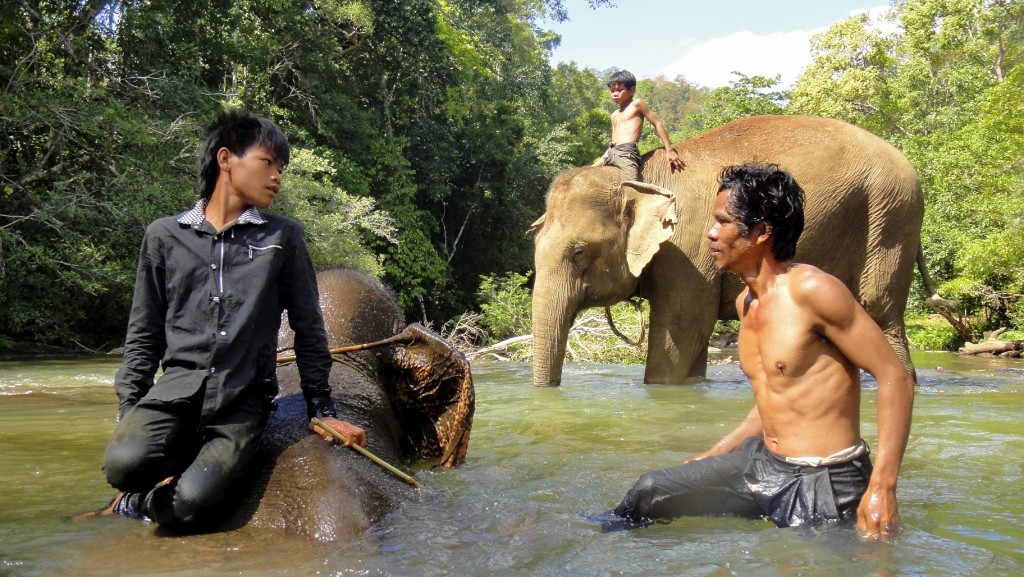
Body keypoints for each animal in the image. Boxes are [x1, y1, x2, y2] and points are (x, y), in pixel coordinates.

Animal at [532, 114, 925, 385]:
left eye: (579, 252)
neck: (640, 180)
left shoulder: (687, 251)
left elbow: (683, 329)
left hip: (889, 219)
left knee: (878, 312)